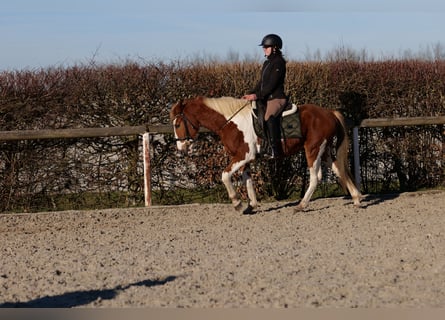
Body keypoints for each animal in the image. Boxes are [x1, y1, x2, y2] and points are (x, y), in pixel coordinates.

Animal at [170, 96, 360, 214]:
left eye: (177, 124)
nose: (180, 147)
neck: (231, 122)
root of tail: (329, 113)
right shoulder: (244, 159)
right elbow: (247, 180)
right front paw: (251, 205)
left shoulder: (243, 155)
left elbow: (225, 175)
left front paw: (237, 204)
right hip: (325, 151)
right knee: (339, 169)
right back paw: (357, 198)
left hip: (312, 149)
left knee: (316, 177)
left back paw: (301, 205)